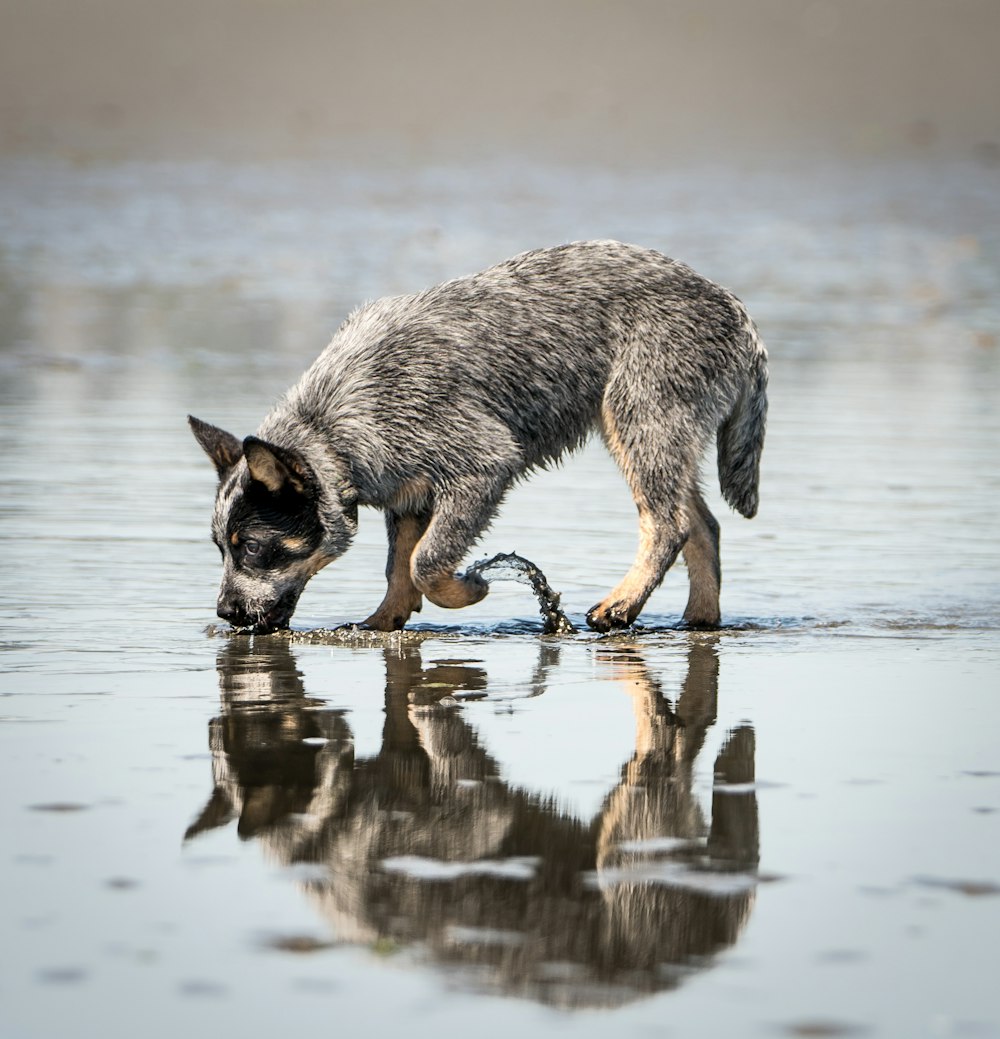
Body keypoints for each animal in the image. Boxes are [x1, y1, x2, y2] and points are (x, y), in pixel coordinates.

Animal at [189, 241, 765, 631]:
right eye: (219, 548)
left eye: (253, 548)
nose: (224, 612)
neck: (334, 422)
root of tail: (736, 310)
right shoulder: (407, 491)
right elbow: (398, 567)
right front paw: (383, 623)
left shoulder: (483, 465)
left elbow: (425, 563)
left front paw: (468, 589)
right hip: (661, 436)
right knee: (704, 527)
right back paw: (699, 620)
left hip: (639, 421)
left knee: (668, 525)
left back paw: (621, 605)